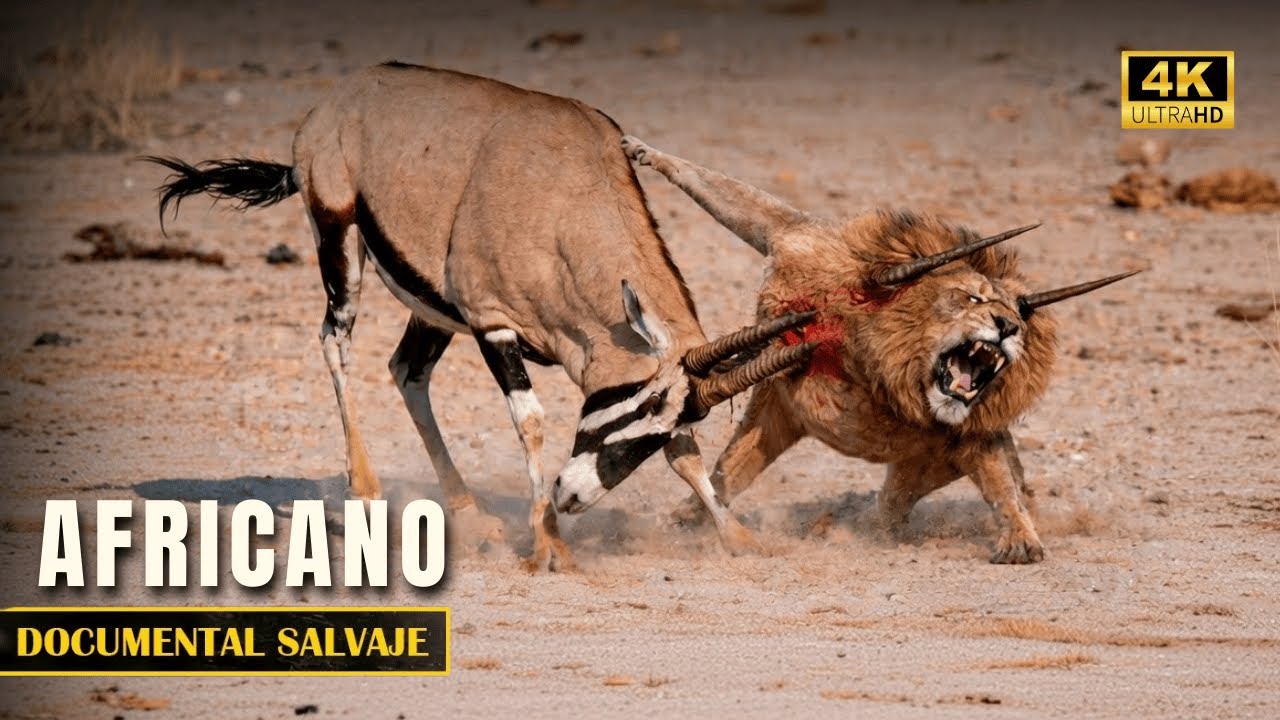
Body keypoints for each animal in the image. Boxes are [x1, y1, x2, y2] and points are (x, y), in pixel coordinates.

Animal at [622, 136, 1139, 563]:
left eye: (1022, 314)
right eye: (973, 298)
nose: (1008, 326)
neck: (879, 366)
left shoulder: (971, 433)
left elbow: (1001, 486)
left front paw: (1021, 540)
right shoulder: (796, 242)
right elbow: (734, 195)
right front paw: (644, 150)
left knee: (905, 501)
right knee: (732, 472)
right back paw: (689, 518)